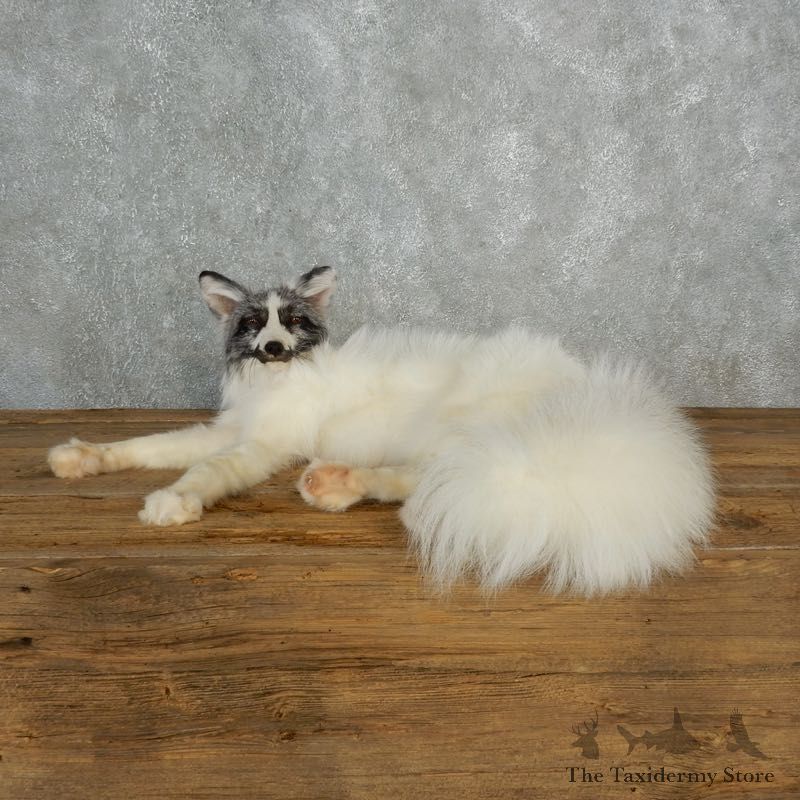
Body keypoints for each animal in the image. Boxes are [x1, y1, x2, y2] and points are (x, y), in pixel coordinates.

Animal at [48, 266, 714, 595]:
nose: (272, 348)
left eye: (294, 323)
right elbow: (150, 445)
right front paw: (83, 458)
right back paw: (338, 484)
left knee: (427, 482)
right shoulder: (228, 427)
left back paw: (350, 491)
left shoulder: (262, 445)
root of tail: (587, 396)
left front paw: (173, 503)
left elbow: (205, 470)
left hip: (468, 429)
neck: (277, 384)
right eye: (253, 324)